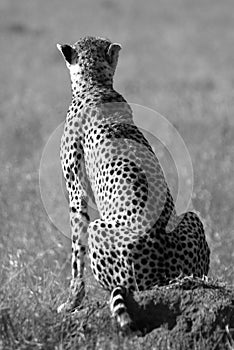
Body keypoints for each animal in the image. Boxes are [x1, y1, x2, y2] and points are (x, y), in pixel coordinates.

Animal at [57, 37, 210, 330]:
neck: (95, 84)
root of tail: (163, 276)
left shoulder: (75, 191)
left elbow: (76, 253)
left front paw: (71, 302)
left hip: (99, 230)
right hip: (191, 218)